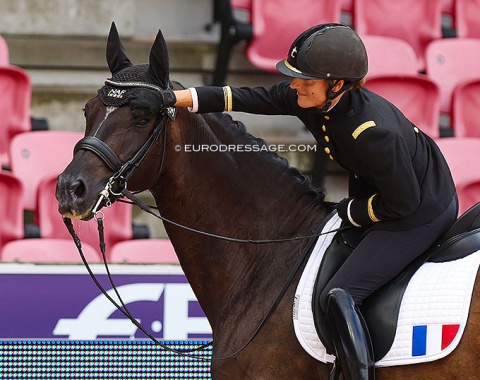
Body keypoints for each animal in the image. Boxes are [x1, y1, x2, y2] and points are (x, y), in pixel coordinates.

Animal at [56, 23, 480, 380]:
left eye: (142, 117)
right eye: (88, 110)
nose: (69, 190)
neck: (270, 263)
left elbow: (400, 198)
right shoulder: (289, 98)